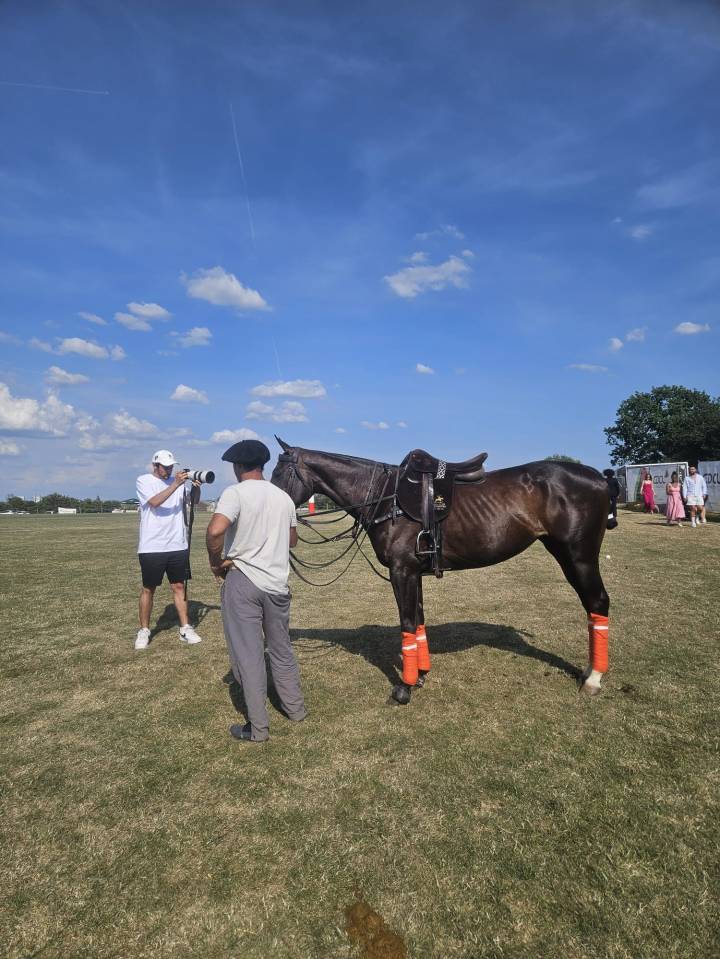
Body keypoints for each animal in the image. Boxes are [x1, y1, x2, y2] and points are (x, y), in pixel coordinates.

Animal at [271, 438, 613, 705]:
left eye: (279, 472)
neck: (386, 497)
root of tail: (599, 478)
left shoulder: (401, 571)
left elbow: (407, 623)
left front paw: (405, 687)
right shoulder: (412, 572)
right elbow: (419, 621)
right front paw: (421, 675)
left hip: (577, 556)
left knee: (597, 603)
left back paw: (593, 678)